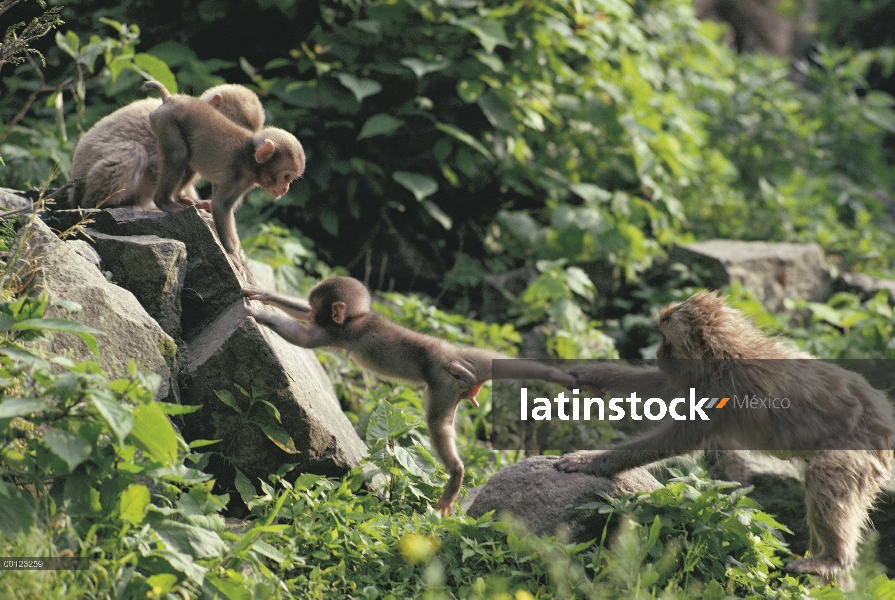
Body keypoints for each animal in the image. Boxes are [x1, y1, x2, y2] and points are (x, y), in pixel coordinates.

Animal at [143, 79, 304, 274]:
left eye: (292, 178)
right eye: (286, 176)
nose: (286, 188)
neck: (250, 158)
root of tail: (170, 99)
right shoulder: (240, 178)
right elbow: (221, 207)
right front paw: (233, 256)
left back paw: (184, 199)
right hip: (166, 122)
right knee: (179, 155)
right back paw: (165, 202)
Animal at [240, 276, 576, 516]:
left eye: (321, 309)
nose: (314, 314)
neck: (355, 319)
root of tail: (456, 363)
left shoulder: (336, 332)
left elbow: (305, 335)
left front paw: (258, 314)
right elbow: (300, 315)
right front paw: (263, 296)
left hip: (441, 383)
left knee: (437, 426)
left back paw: (456, 474)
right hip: (469, 360)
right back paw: (560, 375)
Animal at [556, 292, 892, 588]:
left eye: (666, 341)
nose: (658, 355)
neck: (723, 357)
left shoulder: (725, 390)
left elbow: (679, 439)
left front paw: (590, 460)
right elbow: (665, 386)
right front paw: (593, 373)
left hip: (860, 451)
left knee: (825, 473)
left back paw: (832, 560)